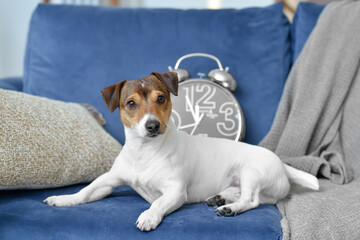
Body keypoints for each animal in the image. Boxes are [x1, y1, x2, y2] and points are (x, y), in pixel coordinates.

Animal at [43, 72, 320, 232]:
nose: (153, 125)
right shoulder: (109, 180)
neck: (145, 152)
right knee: (248, 195)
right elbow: (85, 192)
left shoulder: (175, 191)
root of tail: (283, 165)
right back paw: (220, 198)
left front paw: (149, 215)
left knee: (252, 200)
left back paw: (229, 208)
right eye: (131, 104)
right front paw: (63, 199)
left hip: (251, 171)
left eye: (161, 98)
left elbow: (158, 203)